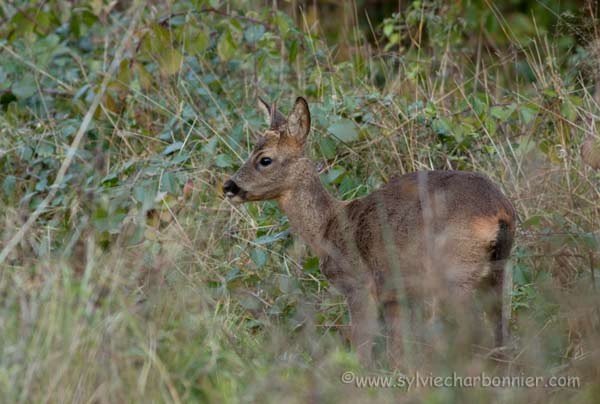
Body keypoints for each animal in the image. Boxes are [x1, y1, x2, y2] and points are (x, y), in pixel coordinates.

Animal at [223, 97, 516, 366]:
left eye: (265, 159)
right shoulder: (394, 295)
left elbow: (362, 349)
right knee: (499, 332)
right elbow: (397, 353)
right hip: (495, 270)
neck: (327, 229)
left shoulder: (359, 284)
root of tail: (500, 210)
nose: (228, 186)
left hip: (455, 272)